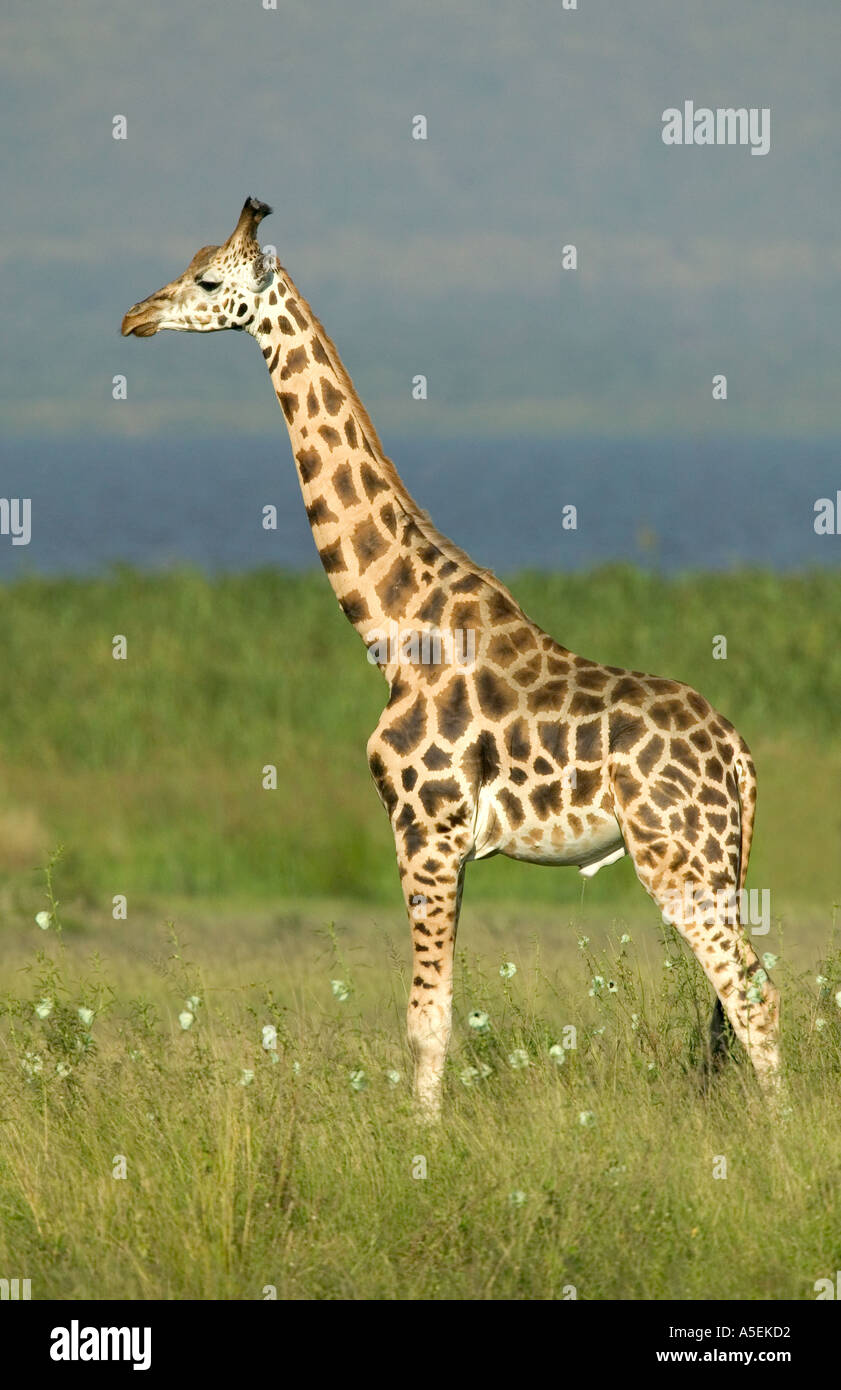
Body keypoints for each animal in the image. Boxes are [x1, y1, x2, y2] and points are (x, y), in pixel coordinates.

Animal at [121, 197, 780, 1116]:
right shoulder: (446, 842)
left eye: (210, 281)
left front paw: (419, 1143)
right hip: (713, 857)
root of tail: (740, 758)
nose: (135, 317)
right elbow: (440, 1011)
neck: (393, 629)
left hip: (676, 853)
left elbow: (425, 1020)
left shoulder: (423, 826)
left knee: (751, 993)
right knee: (744, 990)